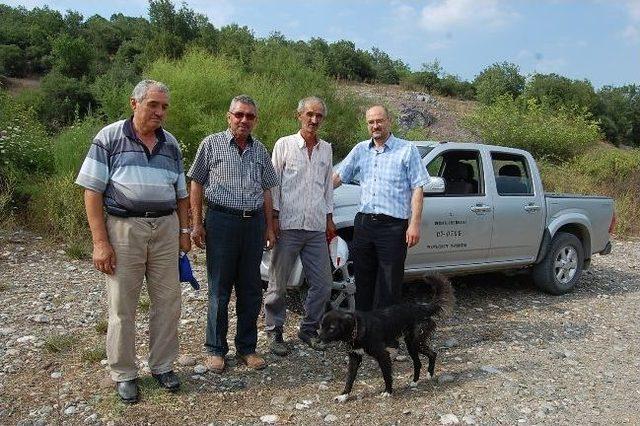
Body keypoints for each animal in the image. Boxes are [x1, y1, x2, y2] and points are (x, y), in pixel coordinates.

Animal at [318, 274, 452, 402]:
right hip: (411, 343)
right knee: (422, 360)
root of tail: (423, 307)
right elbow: (349, 379)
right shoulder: (354, 358)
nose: (318, 340)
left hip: (415, 343)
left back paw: (428, 374)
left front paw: (388, 391)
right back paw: (415, 381)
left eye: (331, 328)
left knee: (430, 355)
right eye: (321, 325)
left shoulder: (383, 355)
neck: (358, 329)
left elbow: (386, 375)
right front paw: (344, 395)